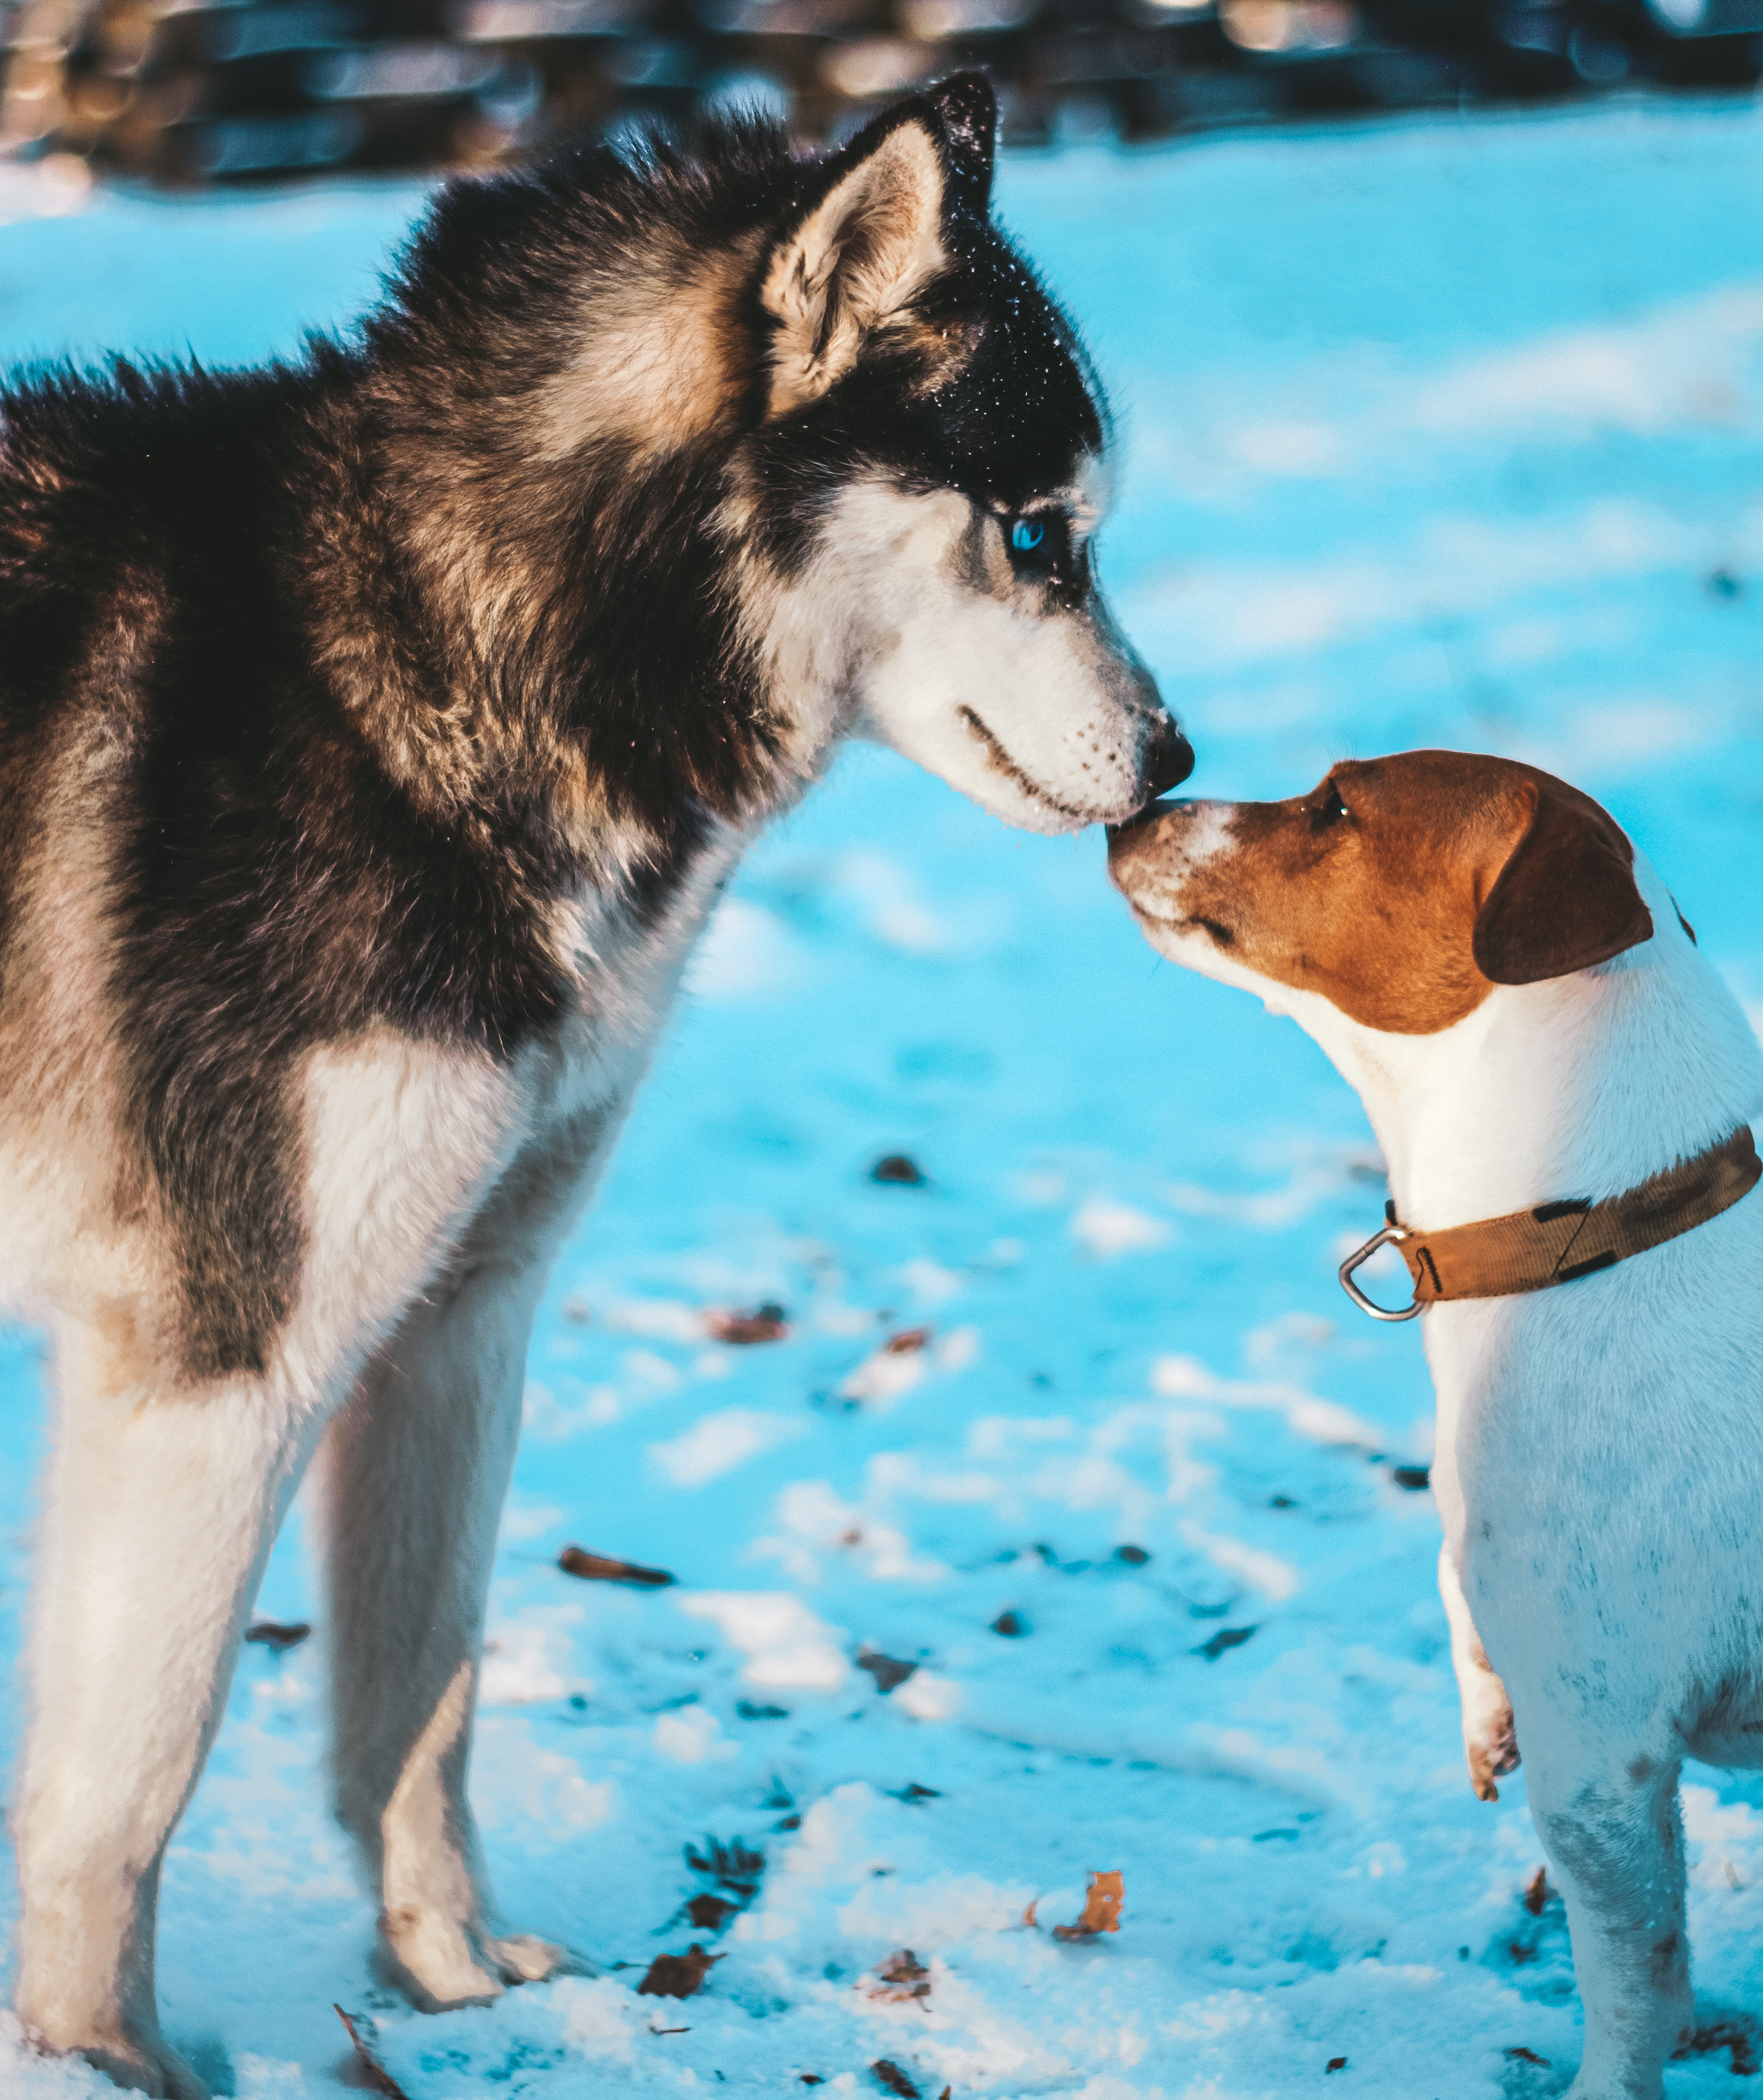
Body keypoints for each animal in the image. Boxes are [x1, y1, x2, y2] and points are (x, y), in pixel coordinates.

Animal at [0, 74, 1193, 2091]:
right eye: (1041, 539)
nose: (1182, 757)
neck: (440, 680)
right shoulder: (218, 1364)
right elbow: (128, 1778)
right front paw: (99, 2063)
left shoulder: (457, 1314)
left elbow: (424, 1696)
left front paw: (449, 1974)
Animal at [1117, 756, 1763, 2100]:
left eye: (1336, 807)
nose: (1143, 796)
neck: (1589, 1232)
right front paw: (1476, 1700)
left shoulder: (1602, 1760)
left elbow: (1637, 1983)